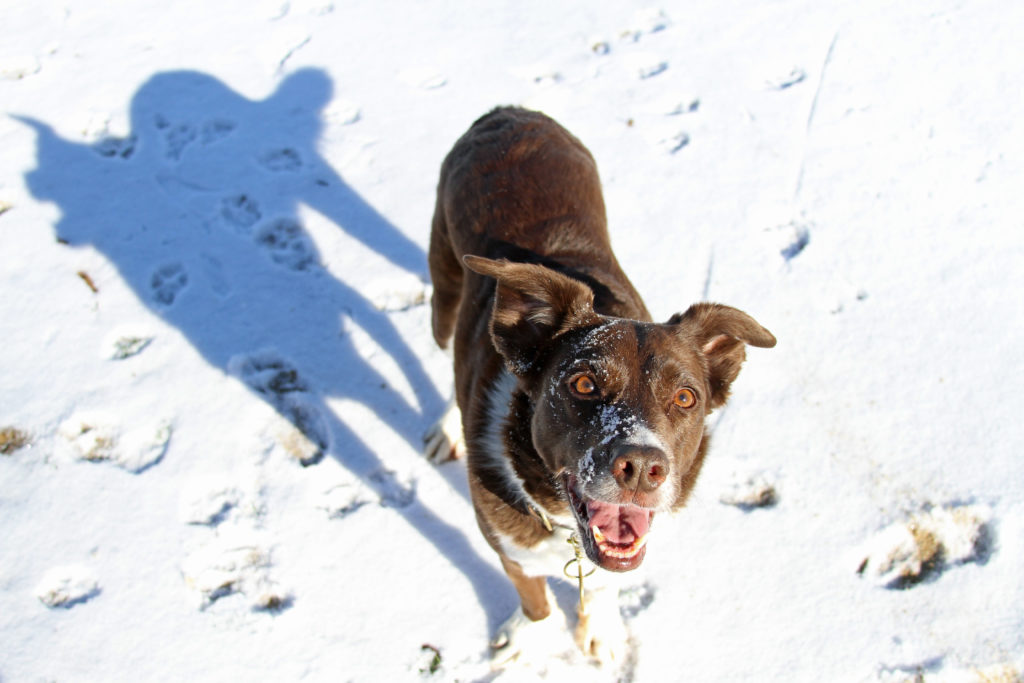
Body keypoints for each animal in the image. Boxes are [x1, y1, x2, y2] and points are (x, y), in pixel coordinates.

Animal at [425, 108, 774, 667]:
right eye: (584, 383)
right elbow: (531, 592)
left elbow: (607, 583)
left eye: (686, 398)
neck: (562, 520)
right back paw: (446, 428)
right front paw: (532, 636)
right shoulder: (503, 538)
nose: (642, 468)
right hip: (445, 285)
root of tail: (510, 111)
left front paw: (602, 631)